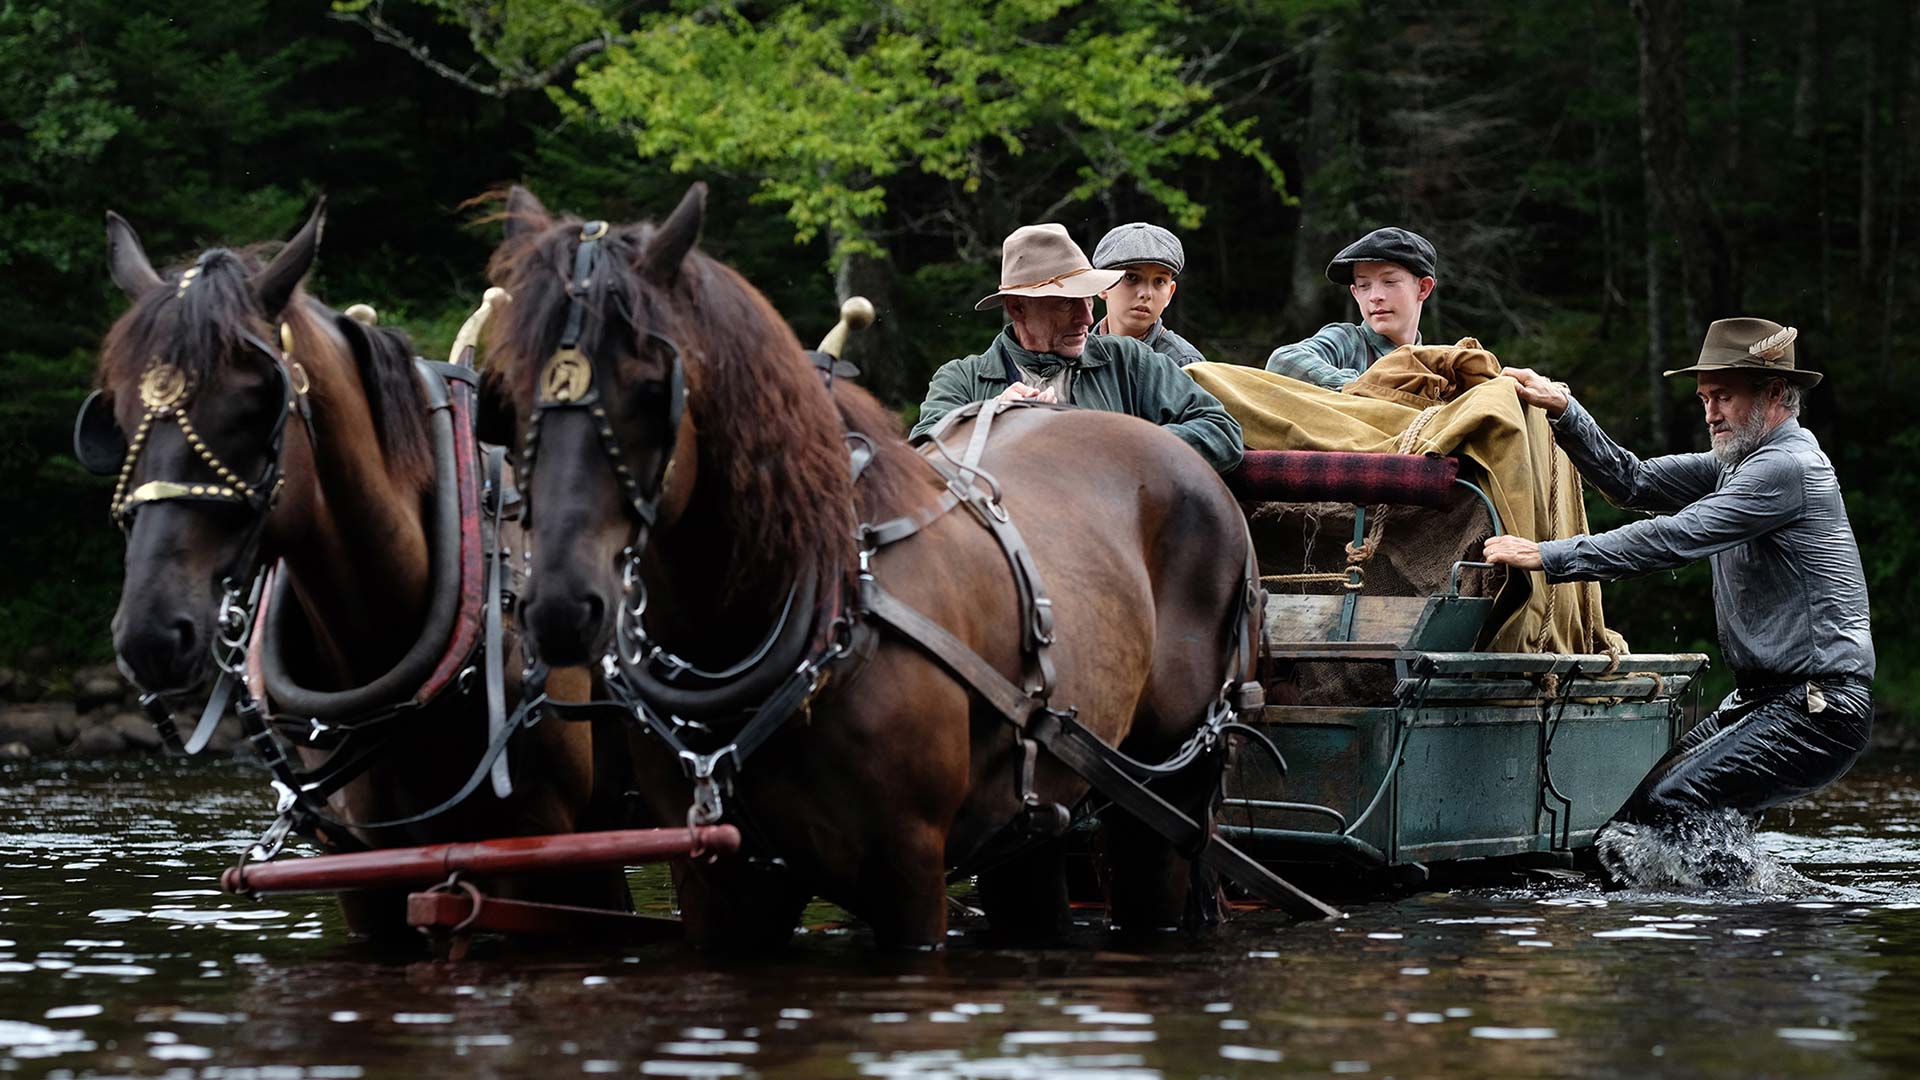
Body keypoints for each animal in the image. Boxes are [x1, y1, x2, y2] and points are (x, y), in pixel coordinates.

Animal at [483, 189, 1290, 945]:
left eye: (655, 388)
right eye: (511, 397)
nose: (559, 605)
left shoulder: (907, 869)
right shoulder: (719, 883)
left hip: (1166, 794)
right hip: (1039, 813)